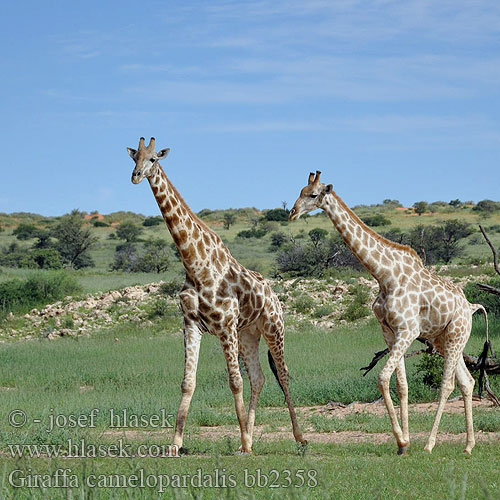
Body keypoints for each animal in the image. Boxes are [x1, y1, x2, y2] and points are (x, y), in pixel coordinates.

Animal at [126, 136, 304, 454]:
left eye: (153, 159)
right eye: (134, 158)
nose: (135, 176)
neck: (194, 263)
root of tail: (273, 294)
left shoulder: (224, 325)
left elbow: (234, 381)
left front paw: (242, 439)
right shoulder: (191, 324)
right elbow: (188, 382)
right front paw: (175, 444)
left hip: (273, 328)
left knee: (282, 374)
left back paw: (298, 437)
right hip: (248, 334)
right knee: (259, 377)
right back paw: (249, 439)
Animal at [290, 170, 488, 456]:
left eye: (313, 194)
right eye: (300, 191)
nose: (292, 212)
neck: (384, 275)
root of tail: (471, 307)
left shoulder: (408, 330)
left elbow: (383, 378)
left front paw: (403, 440)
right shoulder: (390, 332)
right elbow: (401, 385)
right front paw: (403, 443)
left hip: (456, 335)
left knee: (447, 384)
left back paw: (430, 444)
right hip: (444, 340)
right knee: (467, 382)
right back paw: (468, 446)